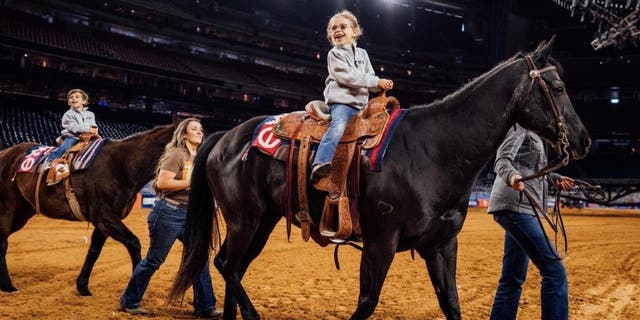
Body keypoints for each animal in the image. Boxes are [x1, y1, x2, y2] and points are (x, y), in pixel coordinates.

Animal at [0, 122, 175, 296]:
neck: (121, 165)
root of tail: (5, 152)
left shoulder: (105, 223)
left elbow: (94, 251)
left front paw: (82, 286)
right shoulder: (103, 216)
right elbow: (133, 243)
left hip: (22, 213)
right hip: (7, 209)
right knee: (2, 241)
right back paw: (8, 286)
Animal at [169, 38, 592, 318]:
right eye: (557, 87)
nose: (584, 140)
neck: (434, 149)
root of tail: (227, 137)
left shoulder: (441, 245)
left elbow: (451, 304)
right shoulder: (380, 243)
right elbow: (367, 303)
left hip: (263, 221)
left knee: (232, 267)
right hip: (245, 219)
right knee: (227, 265)